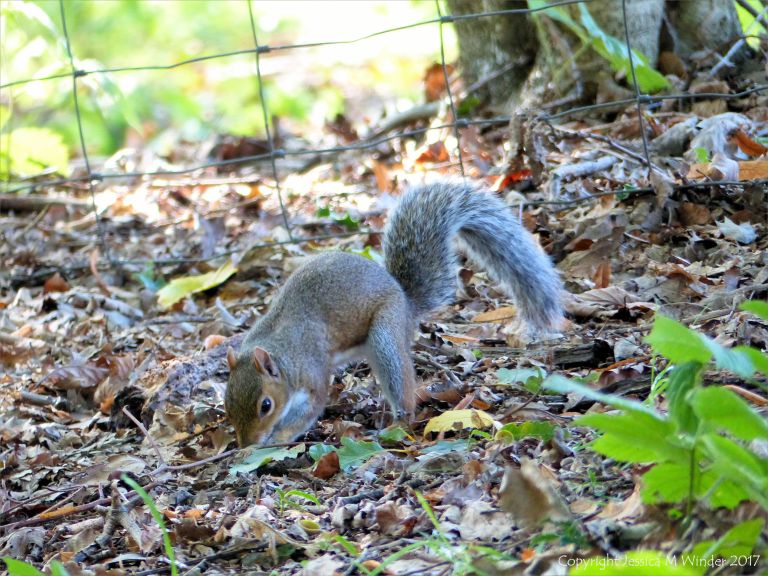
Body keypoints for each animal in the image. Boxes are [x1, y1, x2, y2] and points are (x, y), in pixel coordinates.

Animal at [225, 179, 563, 447]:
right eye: (227, 405)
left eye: (265, 405)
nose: (246, 443)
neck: (281, 351)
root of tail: (404, 298)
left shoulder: (311, 371)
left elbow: (311, 408)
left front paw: (274, 440)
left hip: (385, 332)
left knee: (401, 386)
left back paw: (397, 423)